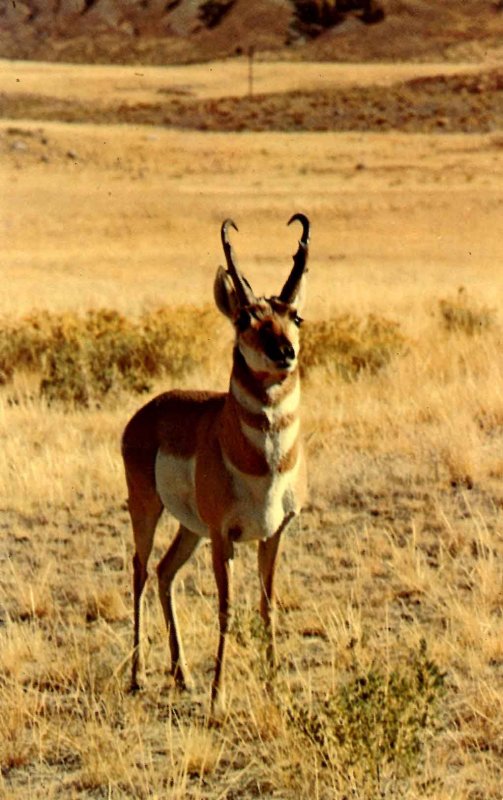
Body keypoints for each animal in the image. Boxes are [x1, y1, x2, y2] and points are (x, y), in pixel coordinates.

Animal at [123, 212, 312, 708]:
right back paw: (138, 676)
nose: (284, 353)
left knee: (165, 573)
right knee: (140, 571)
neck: (262, 465)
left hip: (191, 529)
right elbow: (226, 609)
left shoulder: (273, 534)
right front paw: (218, 696)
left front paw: (273, 685)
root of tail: (147, 412)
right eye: (245, 318)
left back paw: (182, 674)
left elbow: (267, 605)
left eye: (295, 315)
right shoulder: (224, 537)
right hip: (149, 512)